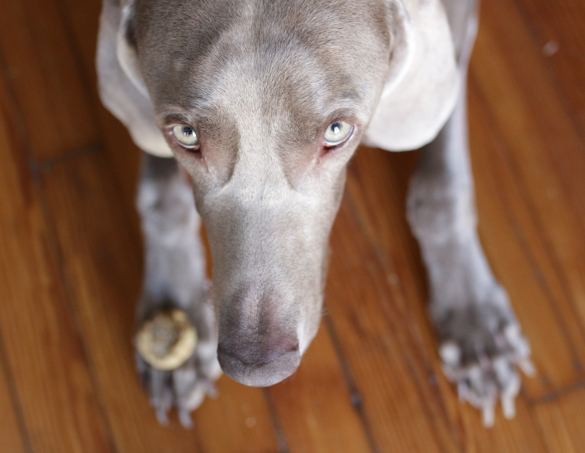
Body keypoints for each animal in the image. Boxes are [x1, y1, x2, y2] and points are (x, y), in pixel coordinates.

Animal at [97, 0, 534, 427]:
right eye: (186, 135)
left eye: (336, 131)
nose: (256, 365)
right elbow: (159, 191)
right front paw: (174, 305)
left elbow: (441, 183)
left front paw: (475, 323)